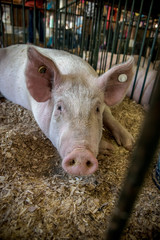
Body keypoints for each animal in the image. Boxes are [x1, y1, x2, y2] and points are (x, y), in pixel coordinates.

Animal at [0, 45, 134, 176]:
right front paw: (109, 148)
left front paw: (129, 145)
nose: (81, 154)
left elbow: (108, 115)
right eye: (59, 107)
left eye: (96, 109)